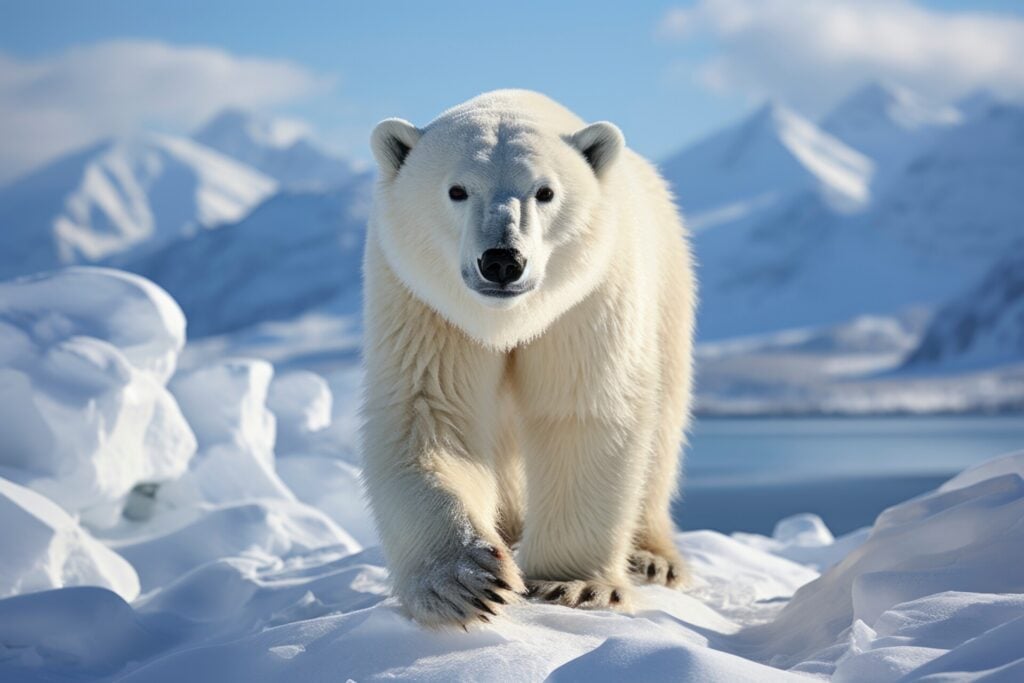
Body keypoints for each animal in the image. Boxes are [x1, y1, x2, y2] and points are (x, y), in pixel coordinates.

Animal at [361, 90, 696, 628]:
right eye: (457, 189)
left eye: (544, 191)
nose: (502, 261)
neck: (509, 321)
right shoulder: (424, 304)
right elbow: (429, 412)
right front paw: (463, 581)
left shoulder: (590, 299)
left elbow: (582, 412)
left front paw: (572, 583)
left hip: (668, 291)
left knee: (662, 425)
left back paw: (652, 557)